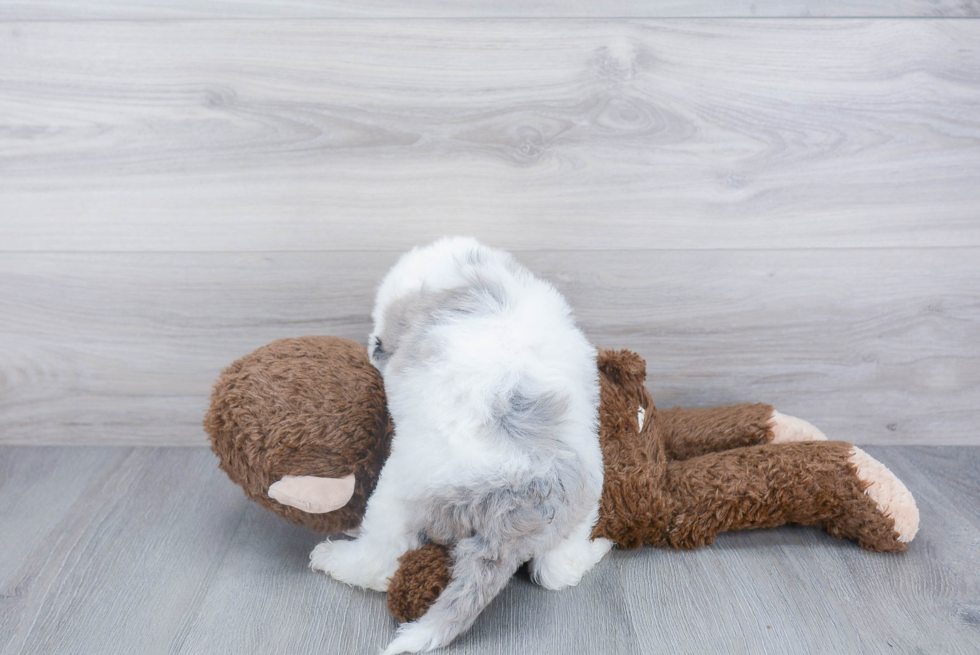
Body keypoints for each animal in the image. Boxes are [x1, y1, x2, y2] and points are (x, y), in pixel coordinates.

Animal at [312, 238, 612, 652]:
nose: (374, 347)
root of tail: (517, 504)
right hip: (581, 506)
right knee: (557, 571)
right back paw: (595, 550)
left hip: (396, 498)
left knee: (380, 560)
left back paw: (333, 556)